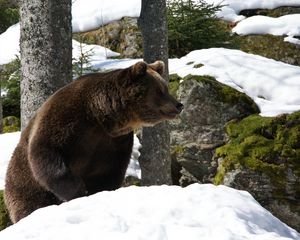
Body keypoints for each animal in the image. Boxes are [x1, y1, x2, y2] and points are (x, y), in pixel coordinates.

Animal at [4, 60, 183, 223]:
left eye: (165, 87)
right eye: (160, 90)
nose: (179, 105)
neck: (100, 116)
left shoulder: (113, 142)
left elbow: (108, 172)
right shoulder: (66, 119)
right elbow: (46, 151)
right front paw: (78, 190)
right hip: (24, 187)